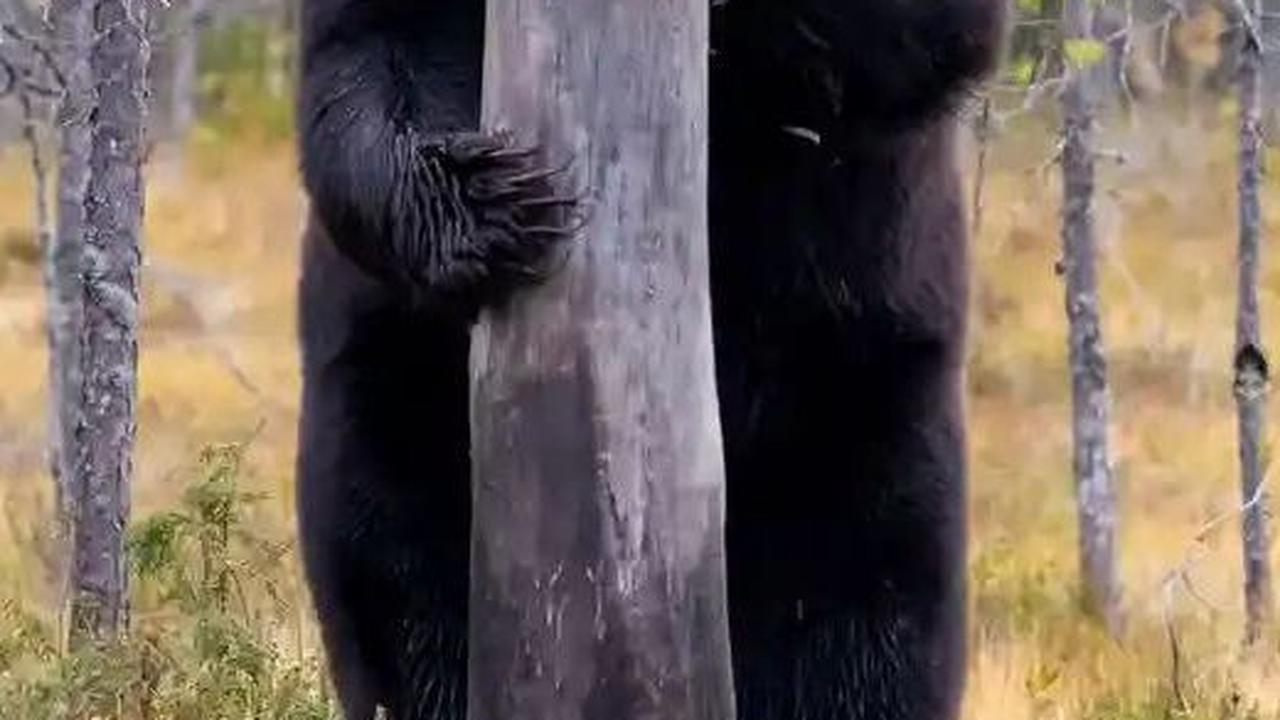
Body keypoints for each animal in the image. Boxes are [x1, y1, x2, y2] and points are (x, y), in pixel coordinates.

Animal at [294, 0, 1006, 718]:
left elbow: (922, 41)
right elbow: (367, 56)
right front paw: (492, 199)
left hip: (854, 391)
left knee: (865, 601)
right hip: (404, 397)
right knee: (399, 568)